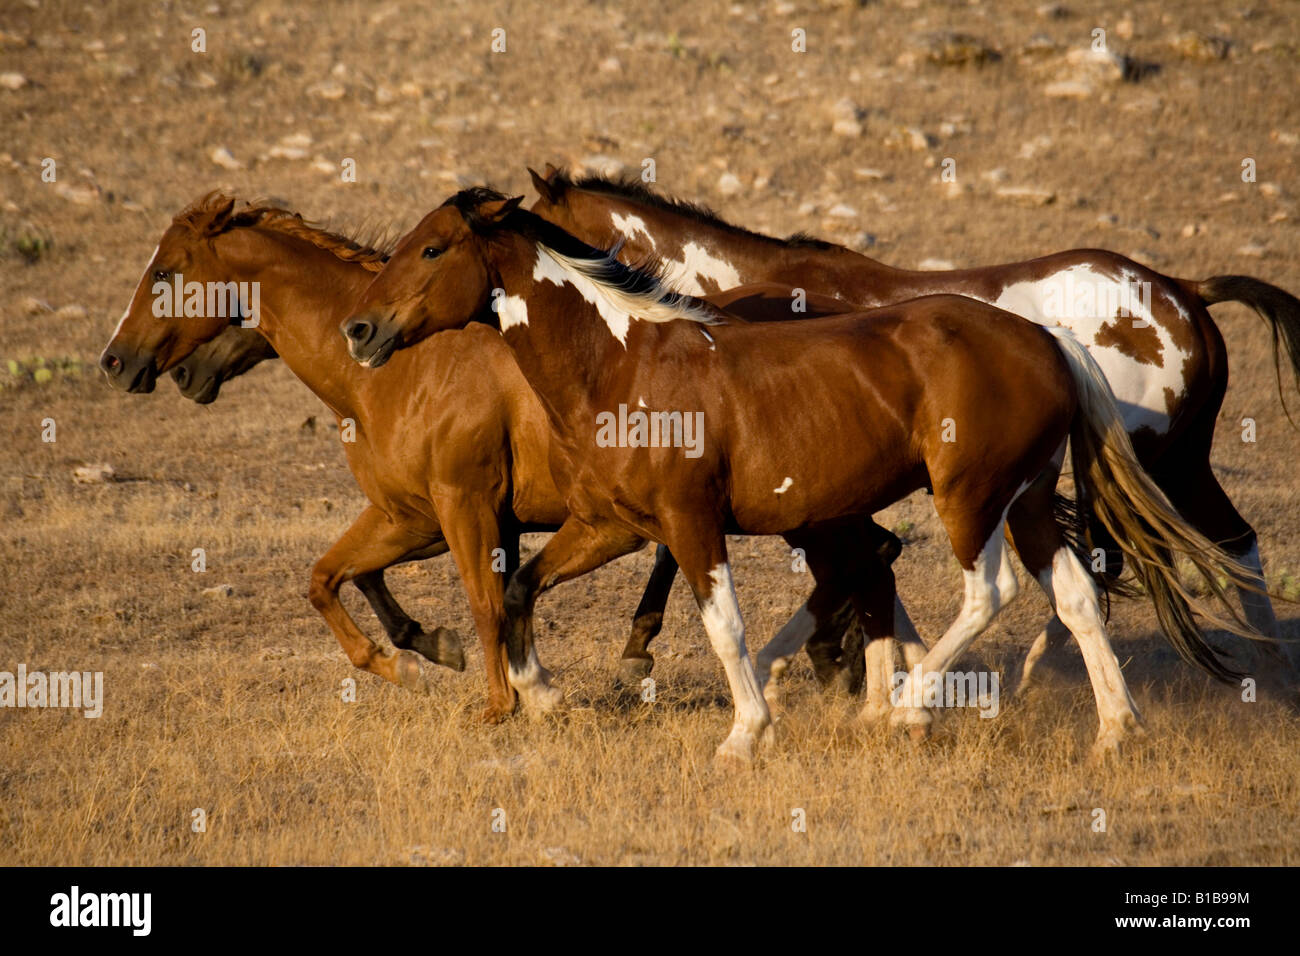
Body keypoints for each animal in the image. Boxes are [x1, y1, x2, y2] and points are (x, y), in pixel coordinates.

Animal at [98, 192, 894, 717]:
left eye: (165, 272)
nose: (115, 362)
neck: (403, 373)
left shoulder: (464, 508)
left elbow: (484, 600)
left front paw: (500, 699)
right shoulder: (409, 517)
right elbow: (331, 579)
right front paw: (418, 660)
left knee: (865, 560)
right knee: (872, 557)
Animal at [340, 188, 1253, 764]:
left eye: (432, 247)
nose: (360, 329)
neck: (625, 361)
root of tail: (1046, 339)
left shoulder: (690, 523)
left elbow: (724, 628)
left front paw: (748, 733)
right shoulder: (611, 525)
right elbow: (522, 588)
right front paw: (538, 695)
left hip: (969, 497)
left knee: (987, 593)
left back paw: (909, 709)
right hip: (1025, 500)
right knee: (1074, 596)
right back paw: (1116, 732)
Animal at [530, 166, 1300, 686]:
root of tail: (1183, 293)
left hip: (1125, 469)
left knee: (1118, 561)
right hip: (1177, 462)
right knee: (1233, 541)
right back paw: (1265, 672)